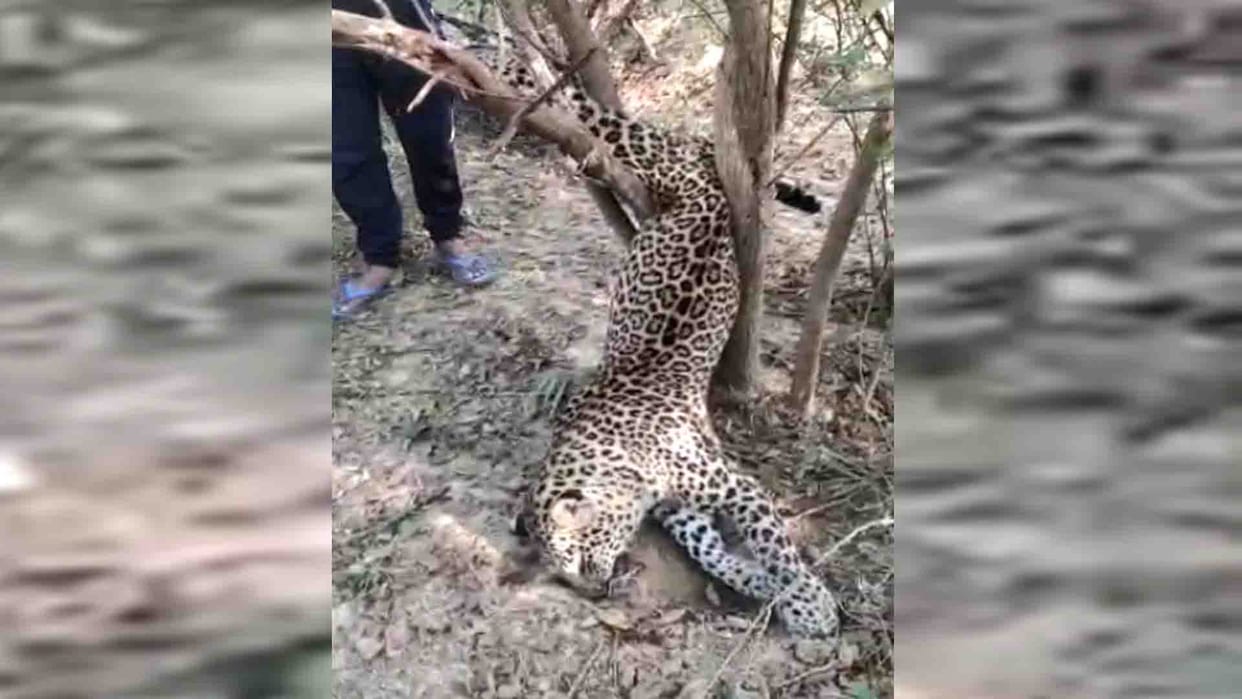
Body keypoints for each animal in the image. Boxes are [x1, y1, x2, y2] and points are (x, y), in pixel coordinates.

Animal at [490, 53, 838, 639]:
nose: (595, 591)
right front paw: (763, 587)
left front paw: (808, 600)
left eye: (578, 558)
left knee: (614, 124)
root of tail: (701, 181)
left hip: (648, 151)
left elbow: (778, 547)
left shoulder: (735, 486)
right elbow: (714, 555)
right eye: (564, 577)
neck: (619, 462)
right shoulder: (681, 511)